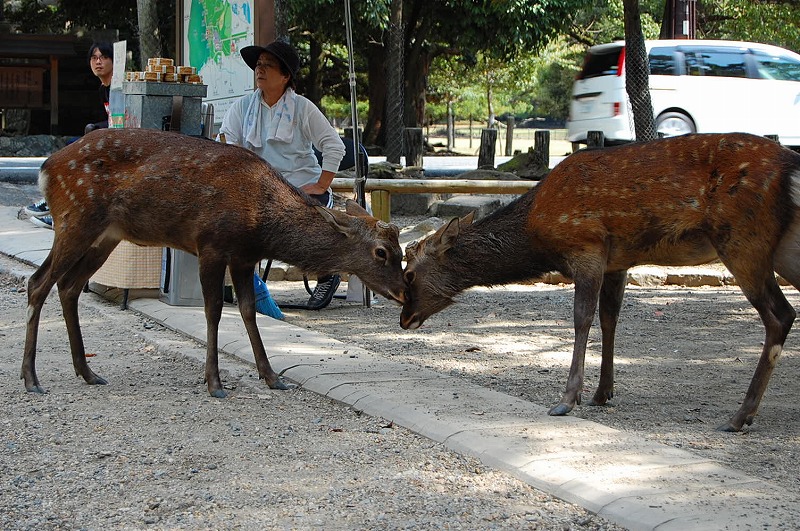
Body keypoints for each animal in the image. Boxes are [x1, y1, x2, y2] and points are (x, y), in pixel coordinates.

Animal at [24, 127, 406, 396]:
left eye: (400, 251)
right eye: (381, 252)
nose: (404, 291)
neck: (261, 224)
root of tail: (45, 168)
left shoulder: (244, 257)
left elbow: (249, 311)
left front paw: (272, 377)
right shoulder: (210, 245)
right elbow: (213, 311)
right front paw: (214, 383)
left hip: (106, 235)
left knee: (68, 286)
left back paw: (88, 372)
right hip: (75, 218)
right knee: (38, 282)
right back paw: (31, 378)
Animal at [404, 133, 800, 432]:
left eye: (409, 273)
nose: (404, 318)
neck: (537, 233)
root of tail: (792, 165)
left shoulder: (587, 245)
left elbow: (582, 318)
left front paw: (567, 399)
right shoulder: (618, 261)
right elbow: (610, 319)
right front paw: (602, 393)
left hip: (742, 239)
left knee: (780, 314)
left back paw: (740, 416)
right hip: (782, 248)